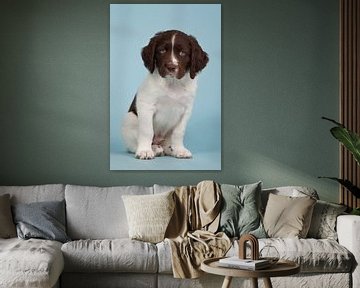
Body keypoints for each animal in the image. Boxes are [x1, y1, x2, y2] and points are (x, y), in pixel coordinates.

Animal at [122, 29, 210, 160]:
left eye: (183, 53)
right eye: (162, 51)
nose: (171, 67)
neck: (172, 84)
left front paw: (179, 150)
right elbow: (147, 130)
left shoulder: (186, 110)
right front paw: (145, 151)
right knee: (134, 145)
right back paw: (154, 148)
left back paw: (170, 149)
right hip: (130, 118)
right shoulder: (146, 105)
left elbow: (179, 132)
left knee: (167, 143)